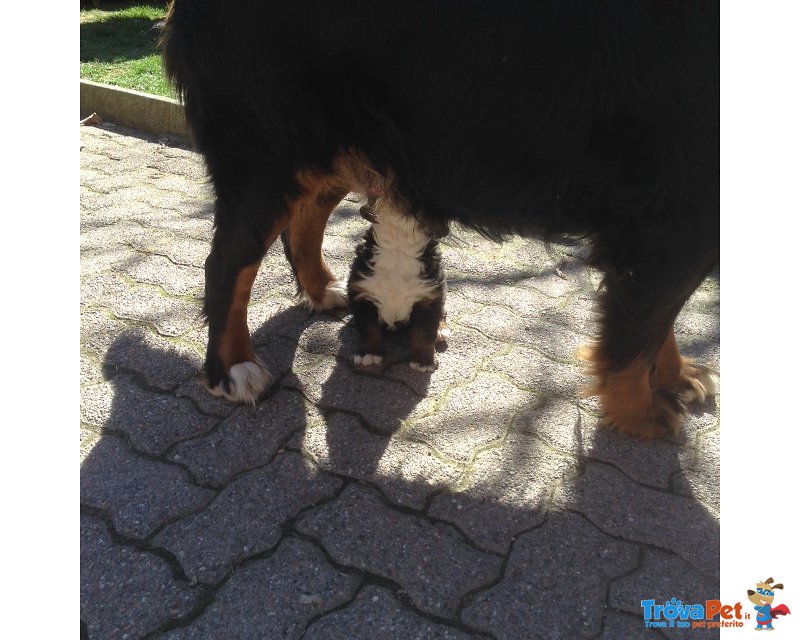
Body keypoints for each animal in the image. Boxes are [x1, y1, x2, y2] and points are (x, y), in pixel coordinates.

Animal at [348, 198, 450, 372]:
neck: (398, 246)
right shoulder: (363, 294)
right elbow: (368, 329)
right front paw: (369, 353)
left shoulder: (429, 298)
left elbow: (425, 334)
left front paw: (423, 361)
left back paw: (441, 331)